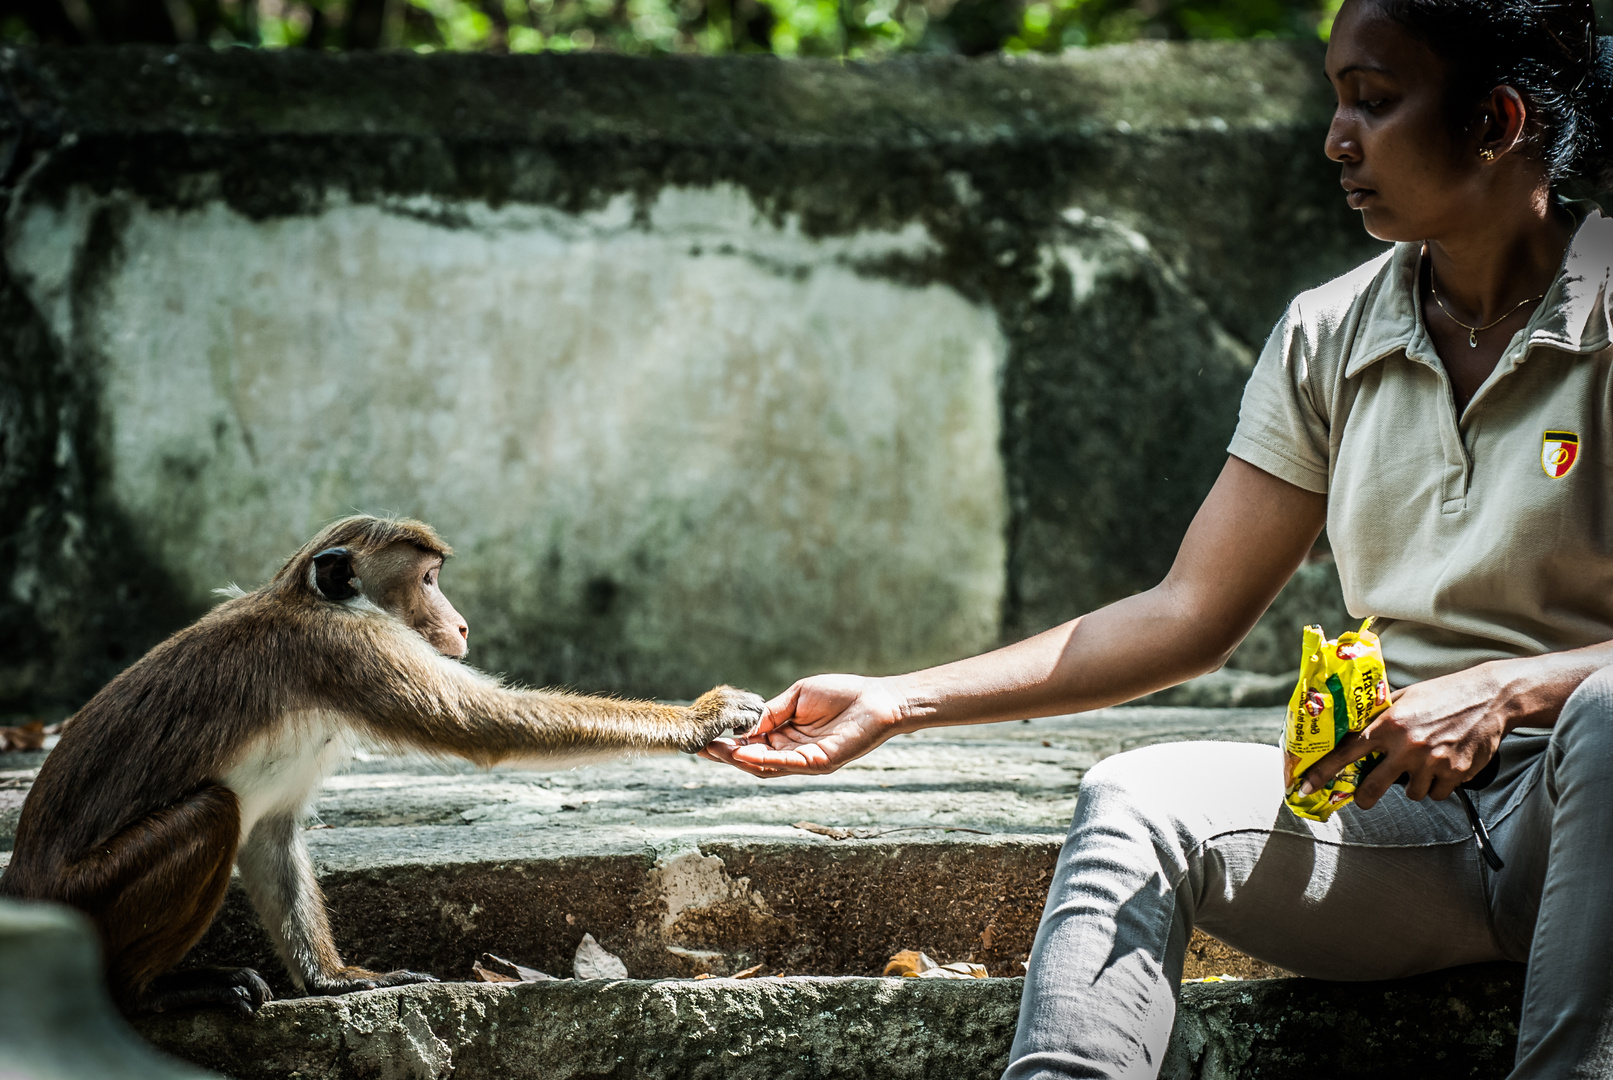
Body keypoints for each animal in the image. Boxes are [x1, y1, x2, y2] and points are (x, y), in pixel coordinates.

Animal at [0, 519, 764, 1018]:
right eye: (427, 580)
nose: (460, 623)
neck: (313, 599)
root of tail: (21, 886)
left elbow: (272, 836)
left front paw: (332, 981)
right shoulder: (353, 646)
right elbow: (484, 725)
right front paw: (703, 717)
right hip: (86, 897)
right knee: (212, 811)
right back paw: (151, 993)